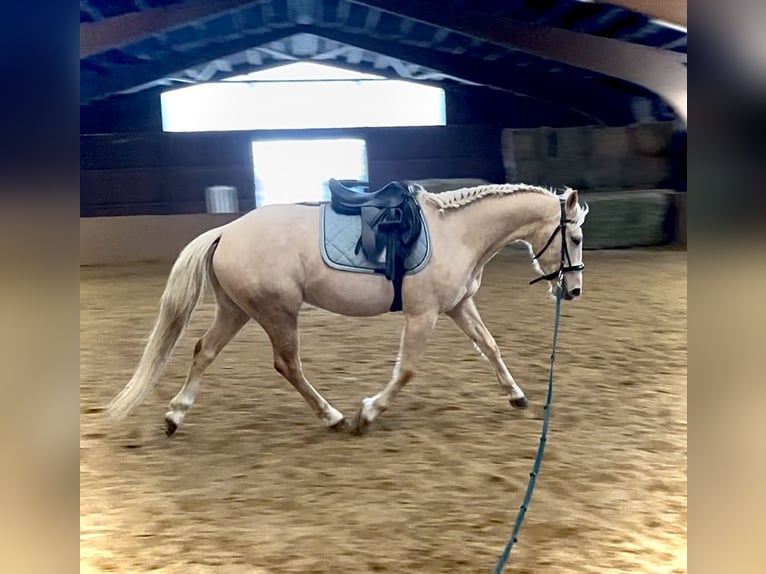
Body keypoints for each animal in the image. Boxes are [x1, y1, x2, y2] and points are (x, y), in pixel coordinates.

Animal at [106, 182, 588, 435]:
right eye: (577, 237)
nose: (574, 291)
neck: (458, 233)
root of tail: (227, 230)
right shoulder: (424, 315)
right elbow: (407, 370)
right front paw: (368, 412)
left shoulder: (458, 307)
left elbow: (490, 347)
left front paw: (517, 395)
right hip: (278, 313)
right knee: (287, 364)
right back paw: (334, 416)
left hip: (237, 310)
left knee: (203, 350)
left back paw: (175, 415)